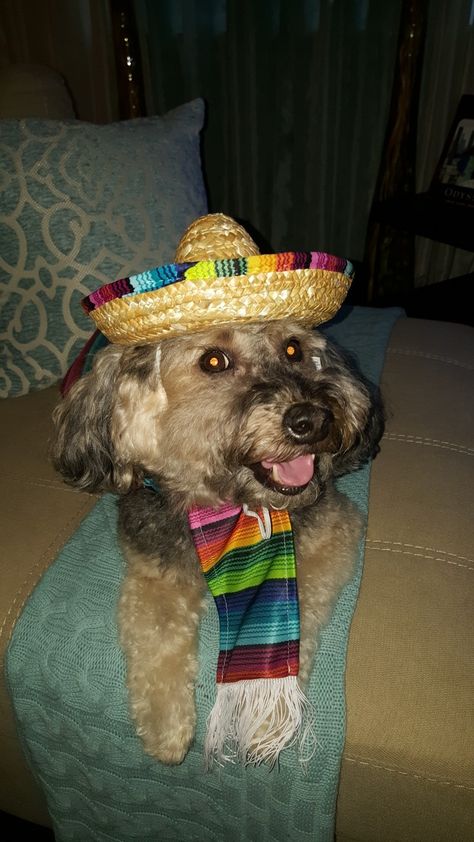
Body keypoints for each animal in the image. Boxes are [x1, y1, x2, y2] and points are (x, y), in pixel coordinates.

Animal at [52, 316, 386, 760]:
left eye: (294, 349)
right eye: (214, 360)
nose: (313, 420)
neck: (225, 507)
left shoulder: (335, 532)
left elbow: (299, 609)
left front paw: (269, 713)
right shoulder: (153, 575)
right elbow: (157, 640)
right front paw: (166, 728)